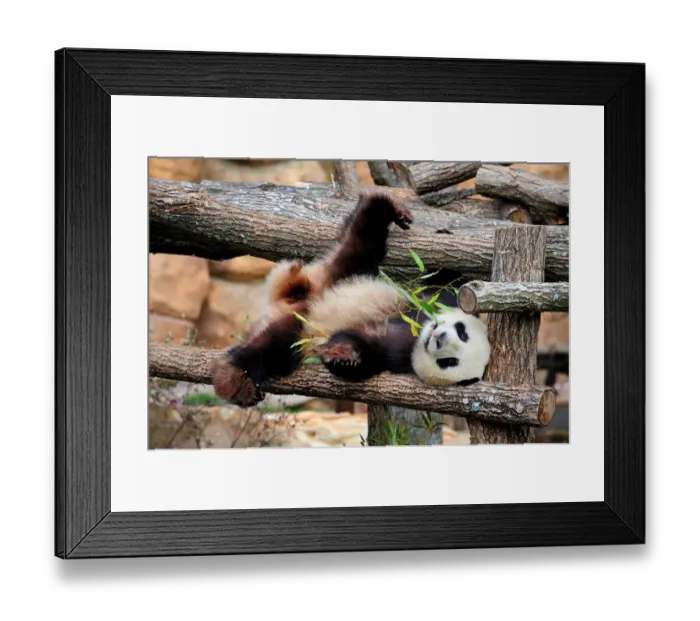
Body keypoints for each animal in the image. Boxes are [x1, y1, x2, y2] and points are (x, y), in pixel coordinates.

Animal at [212, 190, 491, 407]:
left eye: (449, 362)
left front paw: (344, 358)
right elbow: (443, 286)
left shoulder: (399, 358)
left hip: (300, 327)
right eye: (462, 331)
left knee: (274, 347)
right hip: (343, 276)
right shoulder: (429, 303)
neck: (417, 333)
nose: (439, 337)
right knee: (360, 242)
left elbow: (366, 353)